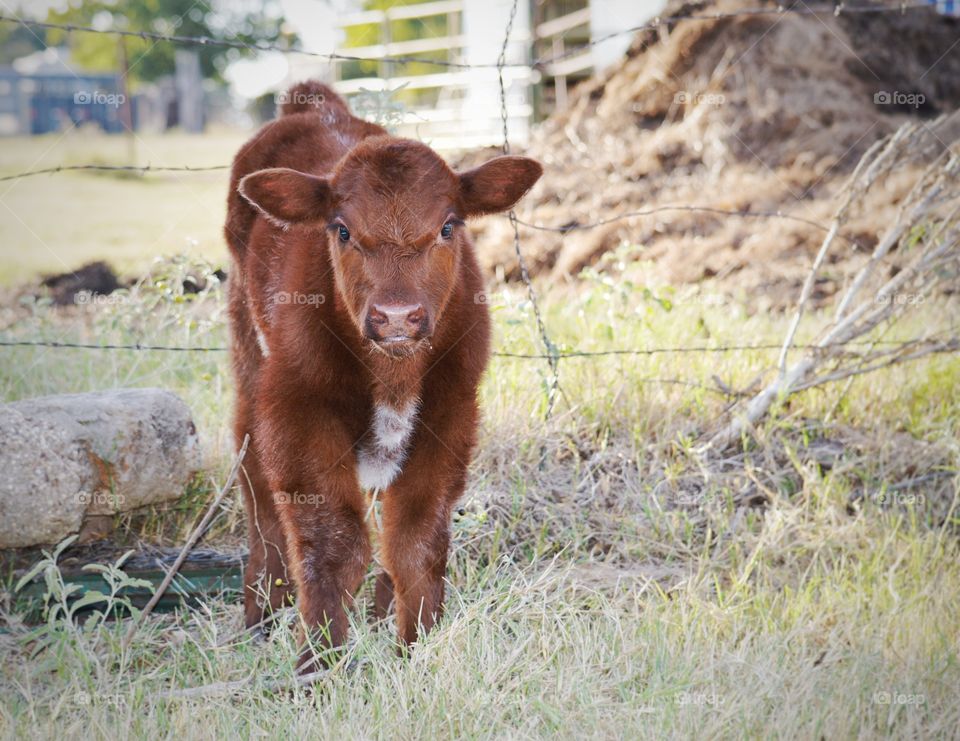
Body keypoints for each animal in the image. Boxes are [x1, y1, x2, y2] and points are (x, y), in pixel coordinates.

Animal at [224, 80, 542, 671]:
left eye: (447, 227)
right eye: (343, 230)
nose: (397, 316)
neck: (394, 375)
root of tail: (314, 103)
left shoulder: (452, 407)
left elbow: (416, 540)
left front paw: (415, 647)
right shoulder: (295, 404)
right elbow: (335, 541)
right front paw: (318, 663)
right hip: (247, 348)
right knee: (251, 468)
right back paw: (262, 610)